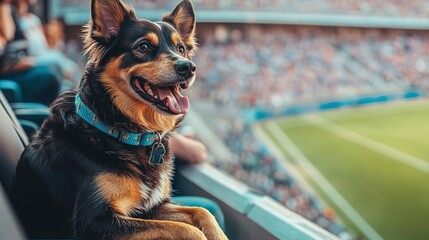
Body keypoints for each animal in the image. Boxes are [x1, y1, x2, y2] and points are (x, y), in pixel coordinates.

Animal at [10, 0, 227, 239]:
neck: (119, 129)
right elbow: (187, 229)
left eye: (181, 49)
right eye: (143, 47)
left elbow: (202, 212)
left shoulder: (150, 206)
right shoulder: (94, 222)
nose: (188, 67)